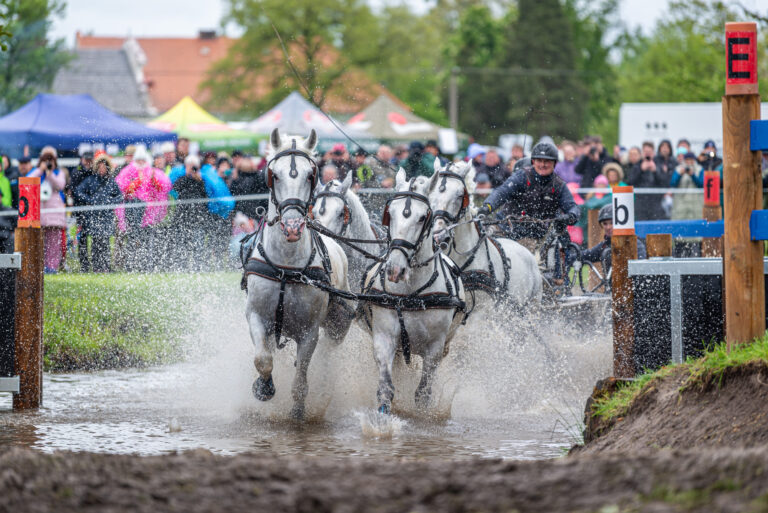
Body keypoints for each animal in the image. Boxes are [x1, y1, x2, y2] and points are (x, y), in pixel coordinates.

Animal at [362, 170, 464, 414]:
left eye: (421, 217)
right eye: (390, 214)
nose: (395, 270)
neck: (411, 295)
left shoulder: (434, 349)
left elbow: (423, 393)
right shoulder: (384, 337)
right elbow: (386, 388)